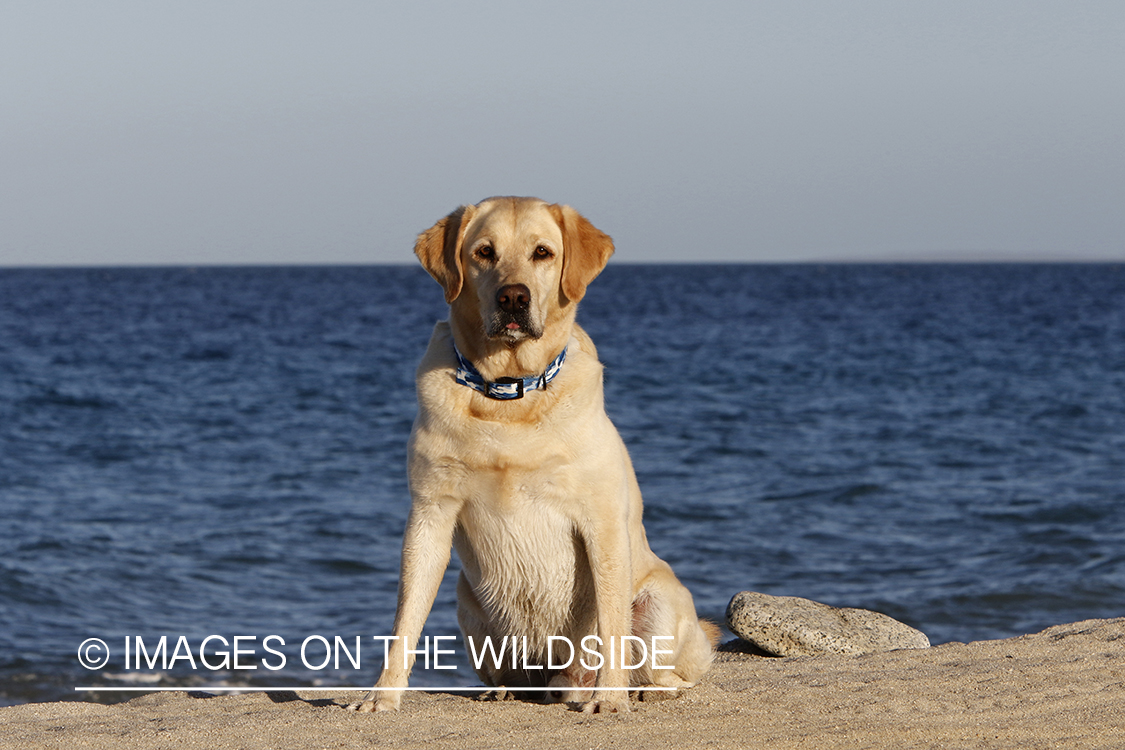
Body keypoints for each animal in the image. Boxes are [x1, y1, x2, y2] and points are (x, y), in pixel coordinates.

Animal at [351, 196, 715, 715]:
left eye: (542, 252)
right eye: (484, 252)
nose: (513, 298)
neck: (508, 395)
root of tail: (563, 678)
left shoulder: (601, 520)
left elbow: (611, 623)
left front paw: (610, 699)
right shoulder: (430, 513)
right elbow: (405, 620)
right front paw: (382, 694)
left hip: (661, 600)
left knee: (664, 665)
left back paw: (638, 687)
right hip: (469, 603)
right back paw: (506, 688)